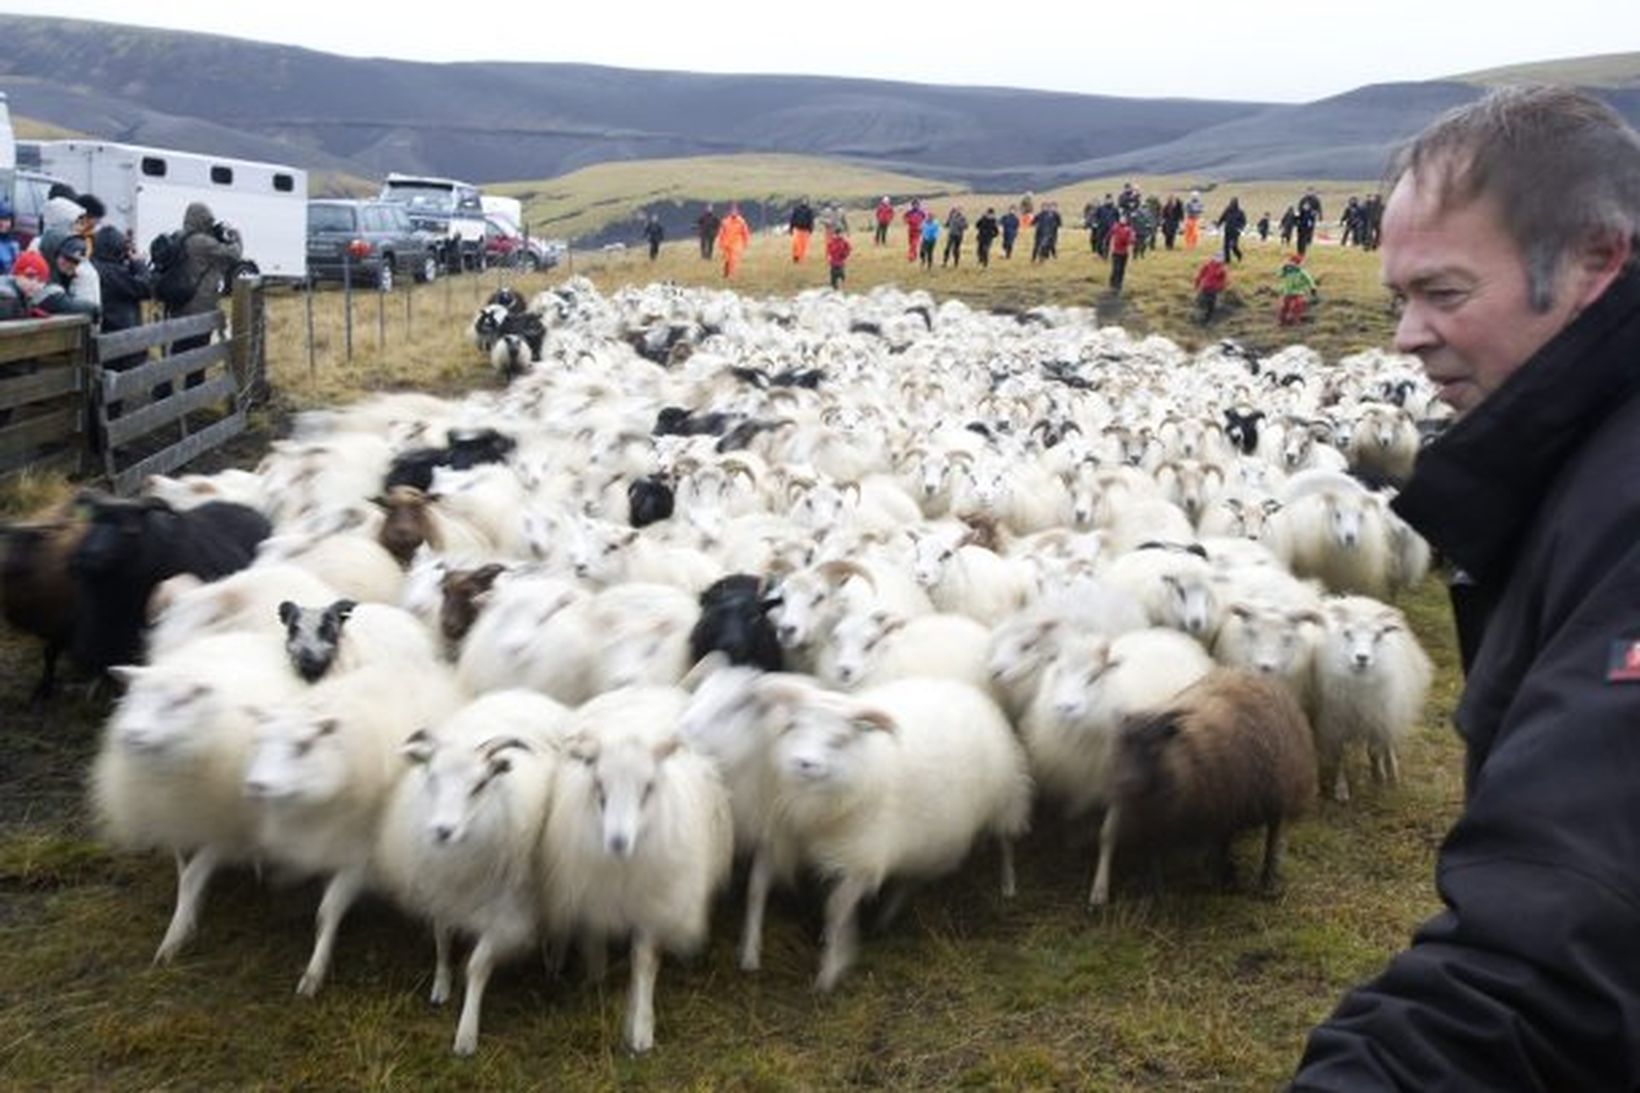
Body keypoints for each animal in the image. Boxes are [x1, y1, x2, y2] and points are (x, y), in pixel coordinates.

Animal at [1088, 669, 1318, 905]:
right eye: (1120, 745)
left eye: (1154, 747)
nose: (1125, 783)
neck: (1184, 754)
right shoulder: (1158, 819)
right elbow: (1154, 856)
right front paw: (1154, 895)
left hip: (1277, 792)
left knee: (1272, 837)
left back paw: (1265, 882)